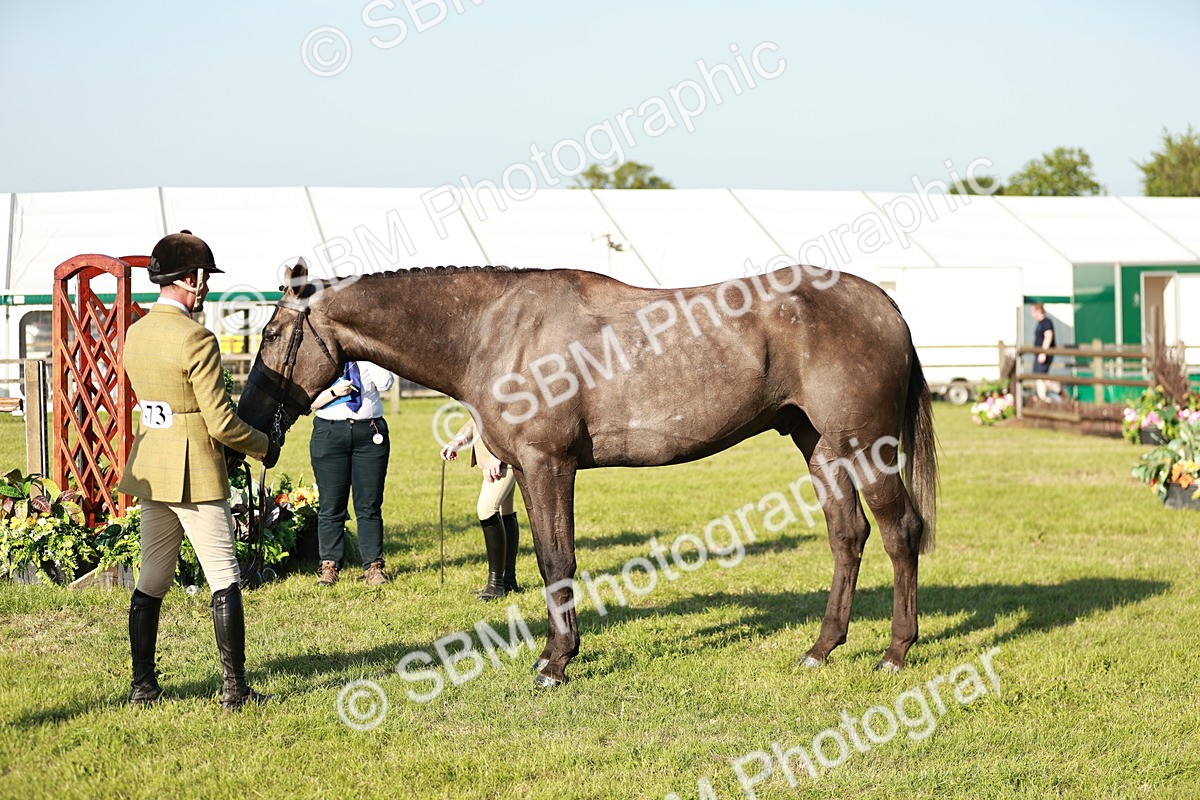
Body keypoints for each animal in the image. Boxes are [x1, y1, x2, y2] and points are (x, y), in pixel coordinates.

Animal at [236, 259, 937, 688]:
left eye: (270, 334)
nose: (249, 418)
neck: (495, 329)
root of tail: (885, 304)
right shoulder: (531, 470)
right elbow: (549, 560)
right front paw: (556, 653)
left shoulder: (549, 466)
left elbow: (557, 561)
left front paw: (555, 662)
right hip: (819, 446)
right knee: (848, 537)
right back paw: (821, 649)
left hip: (865, 446)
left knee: (900, 533)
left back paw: (895, 652)